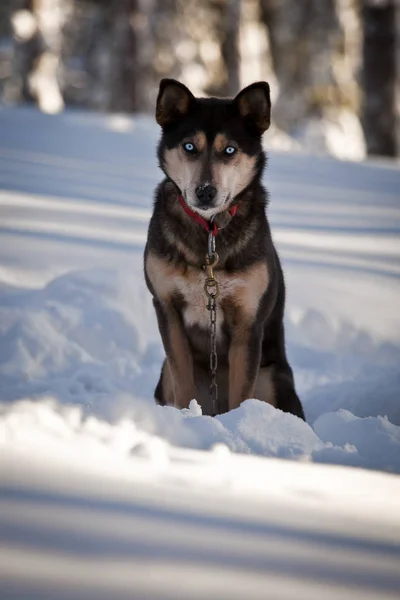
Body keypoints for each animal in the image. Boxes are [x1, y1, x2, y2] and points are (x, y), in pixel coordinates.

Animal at [144, 77, 304, 420]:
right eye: (189, 147)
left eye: (230, 150)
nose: (206, 192)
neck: (209, 234)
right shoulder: (167, 307)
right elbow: (183, 379)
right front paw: (188, 418)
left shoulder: (248, 320)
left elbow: (241, 394)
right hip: (164, 375)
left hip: (273, 376)